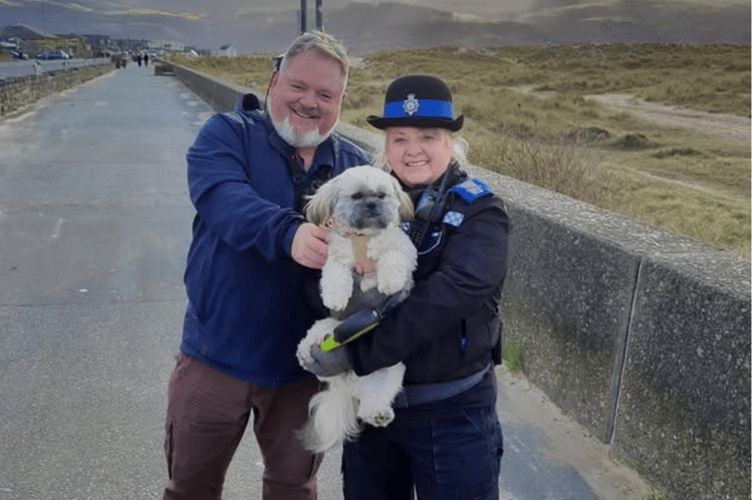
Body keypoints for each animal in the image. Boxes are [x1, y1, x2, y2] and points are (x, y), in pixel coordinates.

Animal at [296, 165, 418, 454]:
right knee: (314, 338)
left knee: (375, 398)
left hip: (390, 370)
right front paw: (335, 297)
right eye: (357, 196)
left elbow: (393, 259)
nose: (372, 204)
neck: (365, 237)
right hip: (327, 328)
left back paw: (378, 414)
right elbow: (336, 274)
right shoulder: (337, 255)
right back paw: (307, 352)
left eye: (381, 195)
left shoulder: (402, 249)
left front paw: (389, 282)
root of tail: (347, 378)